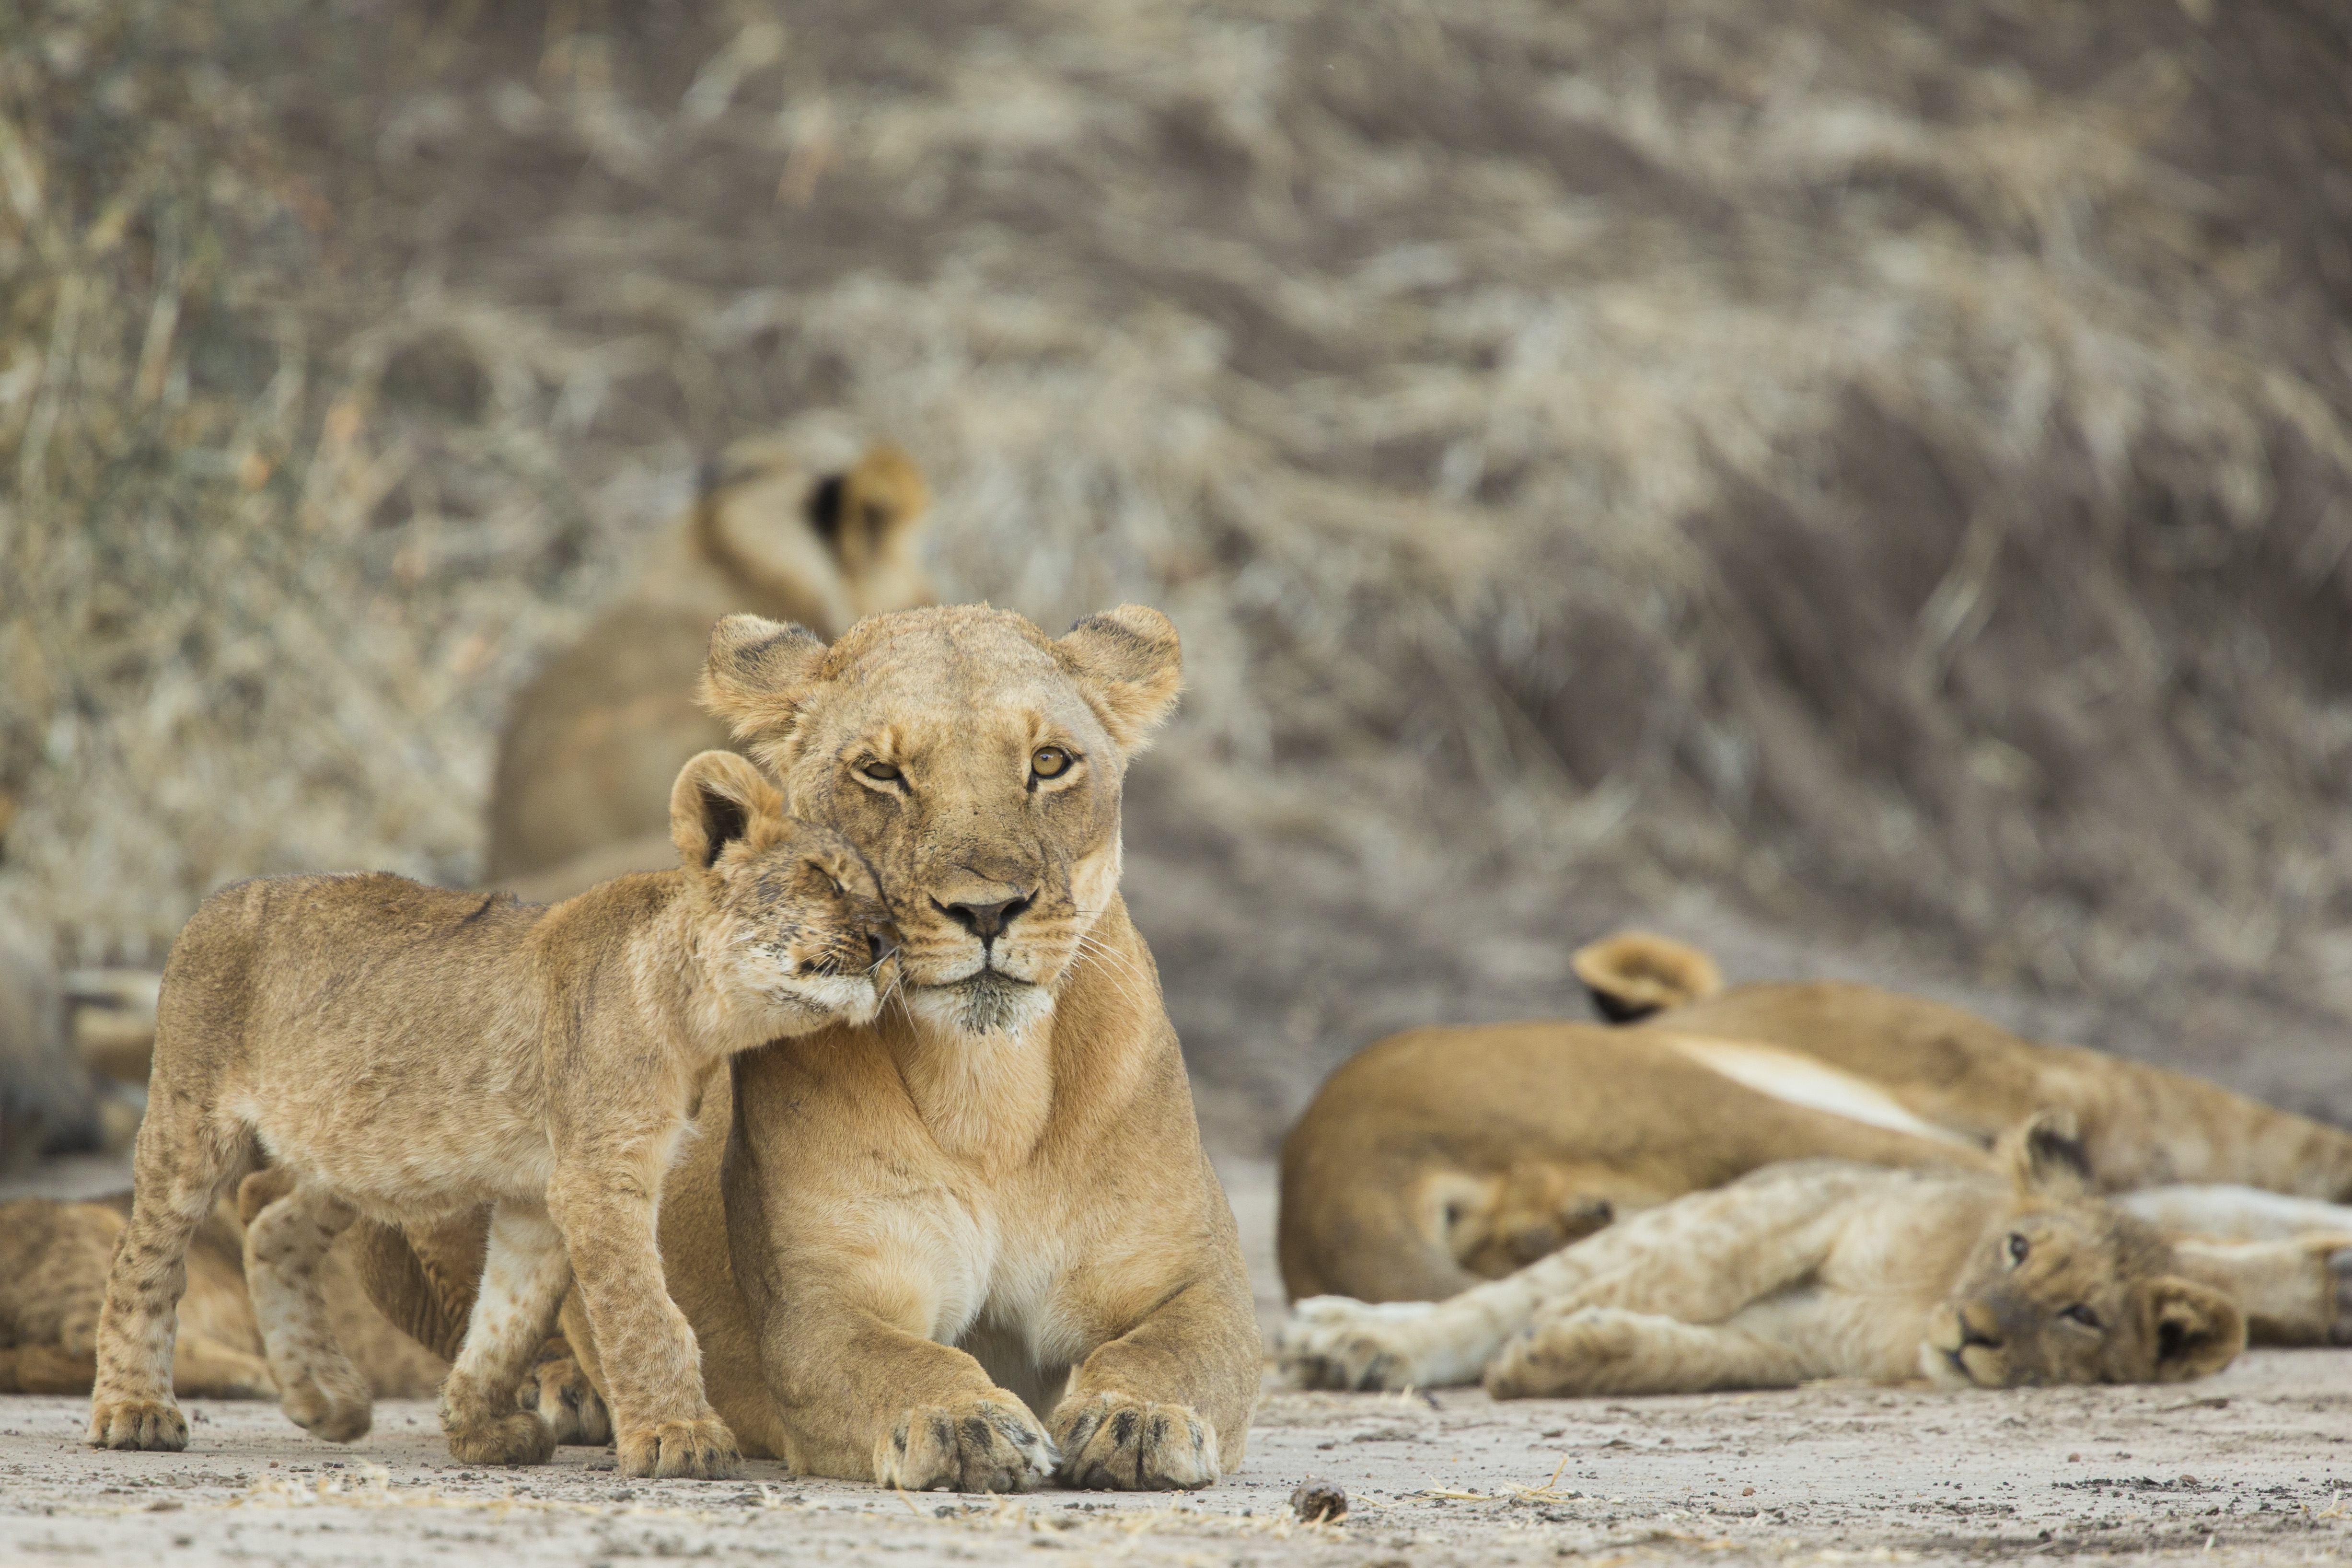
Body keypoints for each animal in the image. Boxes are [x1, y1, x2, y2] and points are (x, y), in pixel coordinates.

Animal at [86, 751, 893, 1480]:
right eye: (824, 877)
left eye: (881, 894)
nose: (887, 942)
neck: (699, 1015)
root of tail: (216, 899)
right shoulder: (597, 1178)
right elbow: (644, 1313)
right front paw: (679, 1436)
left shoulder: (538, 1194)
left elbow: (507, 1318)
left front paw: (480, 1430)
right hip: (189, 1122)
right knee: (143, 1256)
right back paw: (134, 1410)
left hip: (346, 1151)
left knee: (270, 1216)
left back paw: (326, 1397)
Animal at [357, 603, 1263, 1493]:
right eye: (881, 772)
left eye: (1049, 762)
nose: (986, 909)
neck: (988, 1092)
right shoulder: (818, 1307)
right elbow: (905, 1361)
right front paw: (963, 1420)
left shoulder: (1195, 1281)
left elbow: (1173, 1349)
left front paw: (1135, 1417)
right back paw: (566, 1390)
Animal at [1279, 1113, 2260, 1397]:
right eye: (2017, 1247)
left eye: (2080, 1314)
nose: (1973, 1332)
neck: (1918, 1301)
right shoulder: (1805, 1209)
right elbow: (1684, 1276)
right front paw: (1556, 1324)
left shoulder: (1793, 1342)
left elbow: (1678, 1351)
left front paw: (1564, 1351)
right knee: (1492, 1297)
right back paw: (1355, 1340)